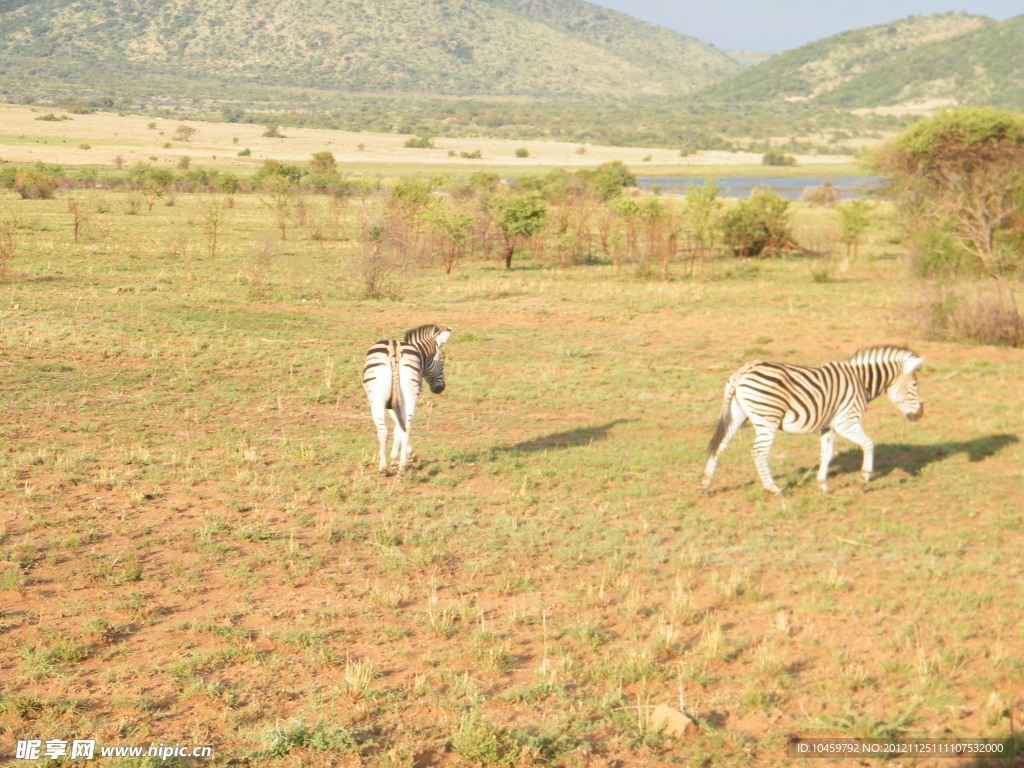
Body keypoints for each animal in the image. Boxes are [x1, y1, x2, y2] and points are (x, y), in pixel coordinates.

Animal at [364, 321, 452, 473]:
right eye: (443, 358)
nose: (441, 389)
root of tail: (394, 350)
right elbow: (398, 427)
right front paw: (402, 458)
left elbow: (396, 427)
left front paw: (394, 459)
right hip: (410, 396)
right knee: (407, 426)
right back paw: (403, 465)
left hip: (376, 398)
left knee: (383, 430)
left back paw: (383, 467)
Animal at [700, 346, 925, 495]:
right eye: (915, 385)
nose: (920, 415)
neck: (861, 382)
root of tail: (742, 372)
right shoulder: (847, 422)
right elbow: (869, 444)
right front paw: (864, 479)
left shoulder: (829, 426)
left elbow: (827, 454)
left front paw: (822, 484)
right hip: (767, 418)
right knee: (758, 452)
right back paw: (773, 488)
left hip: (737, 414)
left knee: (719, 445)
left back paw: (705, 484)